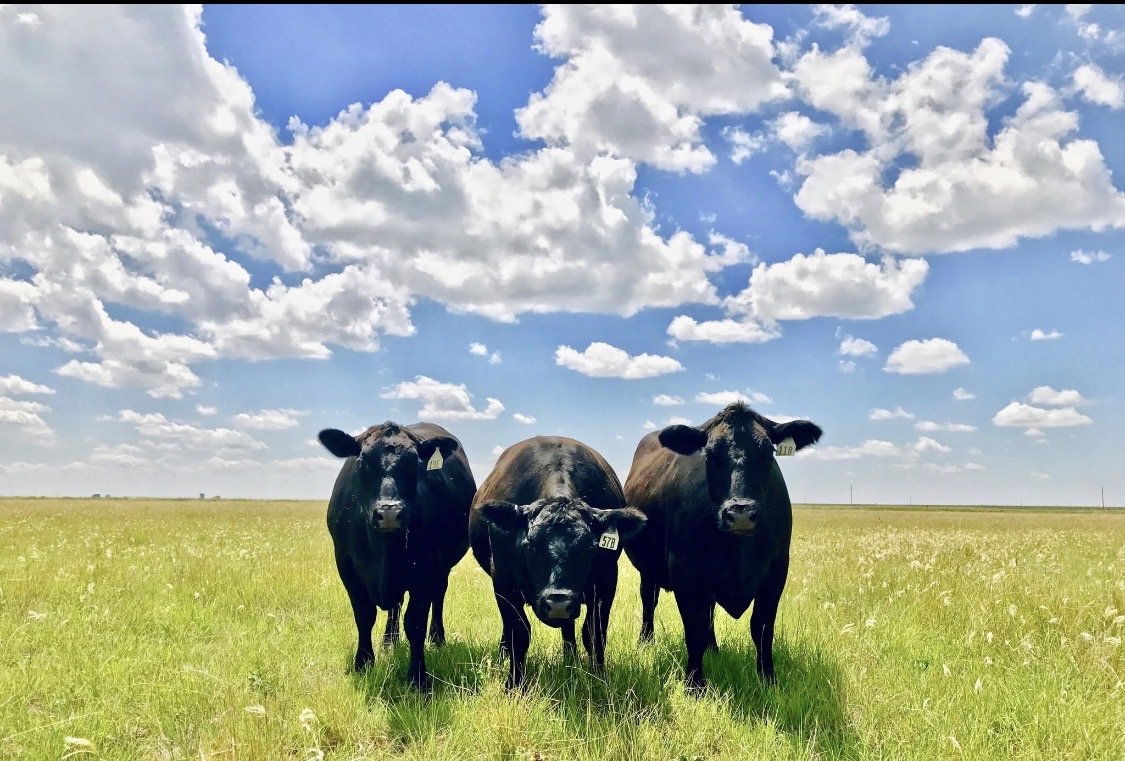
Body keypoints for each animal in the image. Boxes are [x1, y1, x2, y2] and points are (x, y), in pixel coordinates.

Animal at [318, 421, 476, 691]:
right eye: (363, 461)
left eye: (414, 463)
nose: (389, 512)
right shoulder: (346, 564)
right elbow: (364, 615)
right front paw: (363, 663)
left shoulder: (427, 569)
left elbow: (415, 622)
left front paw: (418, 677)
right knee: (396, 604)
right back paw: (389, 641)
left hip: (442, 568)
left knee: (438, 596)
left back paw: (437, 637)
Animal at [469, 436, 646, 689]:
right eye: (530, 545)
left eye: (589, 548)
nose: (558, 603)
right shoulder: (503, 579)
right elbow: (518, 632)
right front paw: (513, 684)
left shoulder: (606, 581)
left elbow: (595, 633)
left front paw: (599, 679)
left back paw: (570, 658)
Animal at [622, 402, 822, 692]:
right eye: (710, 455)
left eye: (767, 454)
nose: (740, 512)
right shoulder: (686, 572)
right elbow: (694, 628)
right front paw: (695, 684)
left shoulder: (776, 572)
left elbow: (762, 628)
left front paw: (768, 678)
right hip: (648, 570)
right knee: (649, 600)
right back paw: (646, 642)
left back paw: (713, 649)